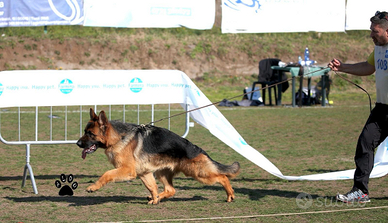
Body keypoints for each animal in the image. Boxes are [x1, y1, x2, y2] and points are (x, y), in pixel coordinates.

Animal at [75, 108, 239, 204]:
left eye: (90, 134)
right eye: (84, 131)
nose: (77, 143)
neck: (119, 137)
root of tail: (197, 149)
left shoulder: (128, 170)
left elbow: (107, 174)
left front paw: (93, 187)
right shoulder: (144, 172)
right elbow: (151, 187)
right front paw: (154, 199)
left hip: (198, 173)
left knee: (222, 177)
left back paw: (230, 194)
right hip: (162, 173)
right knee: (171, 190)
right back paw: (158, 197)